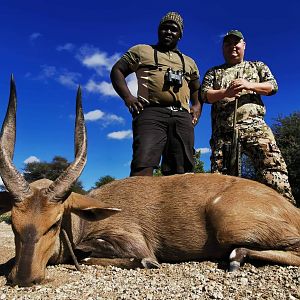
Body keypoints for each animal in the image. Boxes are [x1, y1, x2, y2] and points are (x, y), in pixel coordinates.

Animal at [0, 77, 300, 286]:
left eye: (54, 223)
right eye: (14, 224)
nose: (24, 278)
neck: (84, 219)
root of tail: (291, 210)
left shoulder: (134, 243)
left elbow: (124, 257)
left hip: (228, 225)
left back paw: (237, 257)